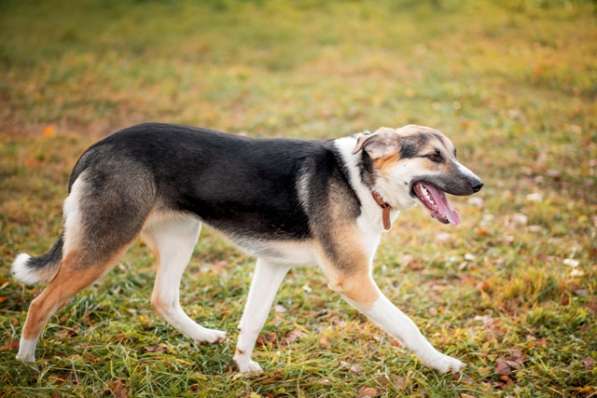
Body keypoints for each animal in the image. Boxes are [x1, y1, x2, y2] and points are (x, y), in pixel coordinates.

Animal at [11, 122, 482, 374]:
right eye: (433, 156)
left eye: (454, 153)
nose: (478, 184)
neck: (362, 181)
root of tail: (98, 146)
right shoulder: (353, 280)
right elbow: (408, 325)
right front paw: (443, 363)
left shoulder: (271, 265)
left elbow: (252, 320)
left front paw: (243, 366)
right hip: (104, 243)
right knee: (40, 302)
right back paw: (27, 362)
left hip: (181, 236)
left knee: (163, 298)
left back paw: (201, 336)